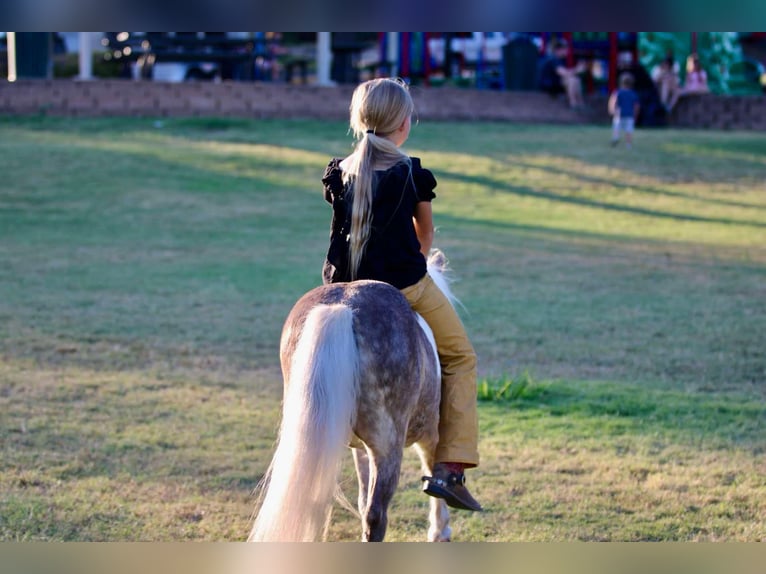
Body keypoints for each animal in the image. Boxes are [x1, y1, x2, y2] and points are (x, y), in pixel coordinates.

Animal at [249, 251, 460, 544]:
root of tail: (342, 307)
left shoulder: (361, 449)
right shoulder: (432, 436)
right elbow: (433, 475)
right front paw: (440, 531)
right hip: (387, 446)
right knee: (376, 514)